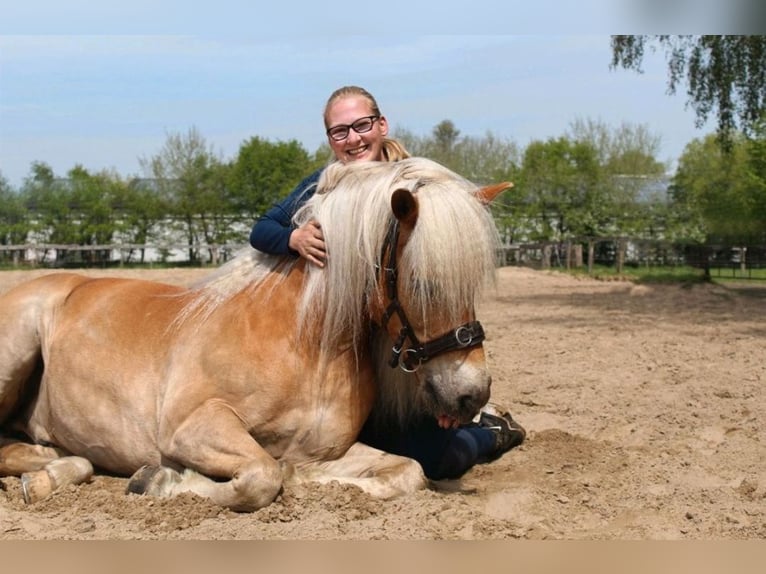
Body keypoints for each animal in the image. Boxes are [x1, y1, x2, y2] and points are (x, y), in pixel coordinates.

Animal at [1, 159, 516, 512]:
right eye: (425, 284)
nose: (472, 394)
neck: (307, 345)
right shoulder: (194, 427)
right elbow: (262, 476)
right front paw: (161, 481)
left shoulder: (327, 449)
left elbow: (407, 471)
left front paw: (306, 481)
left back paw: (52, 473)